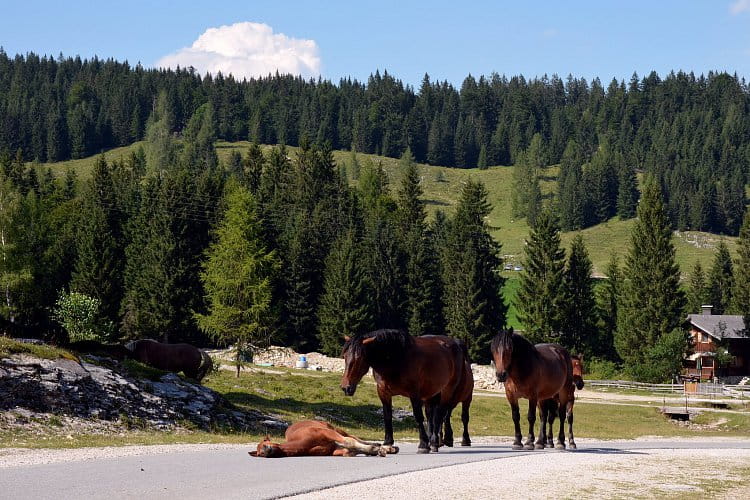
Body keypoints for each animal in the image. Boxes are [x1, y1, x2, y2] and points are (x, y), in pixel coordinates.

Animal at [248, 420, 400, 458]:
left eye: (264, 443)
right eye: (260, 454)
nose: (266, 451)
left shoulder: (326, 433)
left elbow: (349, 442)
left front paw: (377, 449)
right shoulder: (333, 449)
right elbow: (349, 450)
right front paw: (374, 450)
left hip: (335, 428)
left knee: (353, 437)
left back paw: (388, 447)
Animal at [342, 330, 476, 456]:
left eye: (359, 358)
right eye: (344, 356)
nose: (346, 387)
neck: (396, 360)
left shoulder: (414, 394)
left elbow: (418, 416)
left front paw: (423, 445)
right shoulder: (384, 393)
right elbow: (387, 416)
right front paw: (388, 443)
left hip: (448, 391)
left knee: (441, 414)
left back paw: (435, 442)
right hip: (432, 394)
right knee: (434, 415)